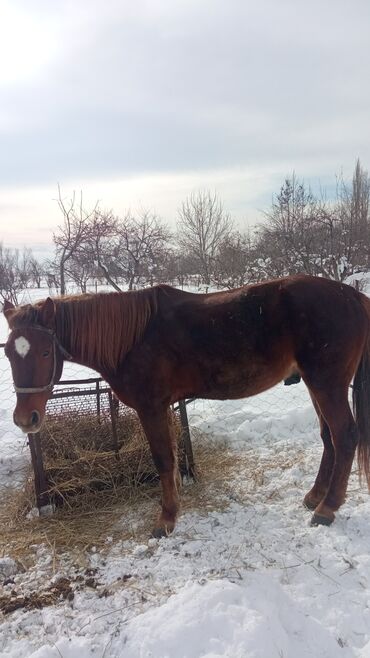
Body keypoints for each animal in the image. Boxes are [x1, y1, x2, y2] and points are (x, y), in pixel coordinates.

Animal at [2, 274, 370, 536]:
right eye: (8, 353)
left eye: (45, 352)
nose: (25, 419)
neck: (132, 339)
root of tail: (353, 296)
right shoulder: (164, 407)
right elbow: (173, 458)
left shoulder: (151, 407)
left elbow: (163, 460)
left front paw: (166, 519)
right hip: (316, 384)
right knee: (328, 438)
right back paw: (314, 497)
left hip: (327, 384)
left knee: (345, 436)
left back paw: (327, 509)